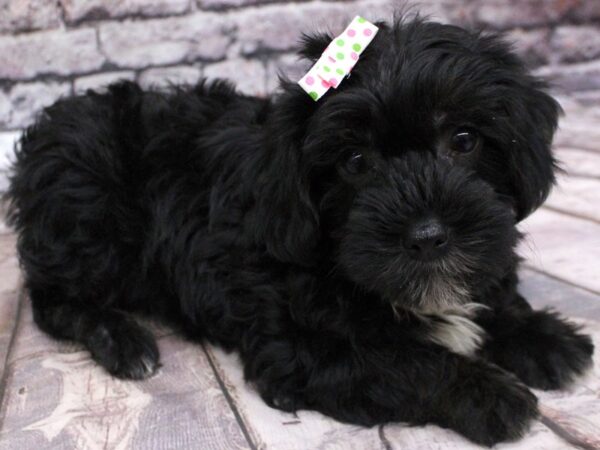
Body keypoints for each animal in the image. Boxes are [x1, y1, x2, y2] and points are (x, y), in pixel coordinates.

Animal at [7, 14, 592, 446]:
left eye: (464, 140)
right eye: (354, 161)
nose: (428, 237)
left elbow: (493, 292)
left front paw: (542, 336)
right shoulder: (299, 348)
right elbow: (402, 362)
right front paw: (489, 394)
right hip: (87, 211)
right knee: (52, 298)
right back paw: (124, 342)